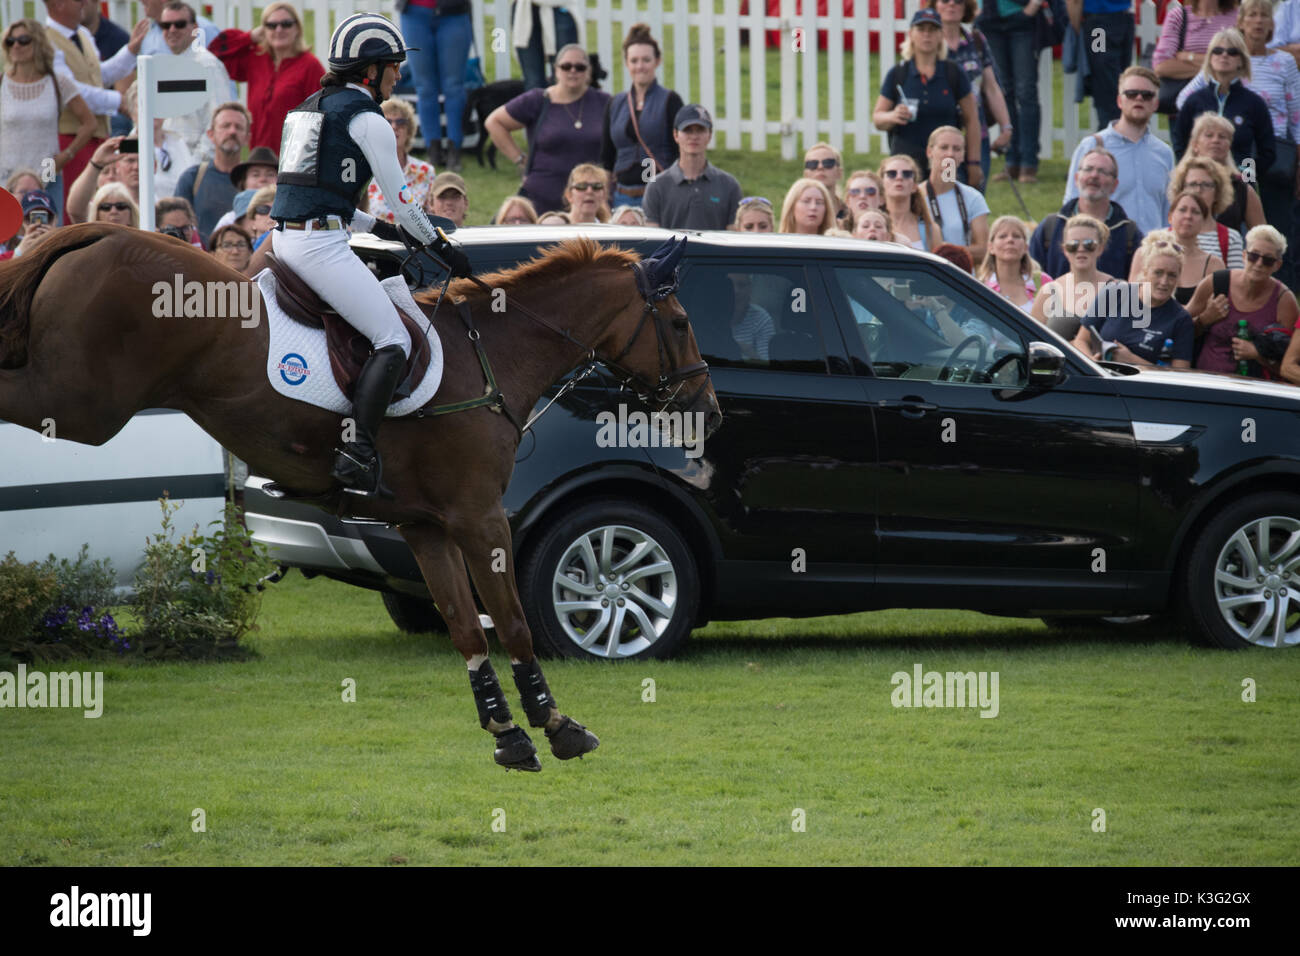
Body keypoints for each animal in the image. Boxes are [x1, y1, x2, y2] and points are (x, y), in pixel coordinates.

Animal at [0, 223, 722, 770]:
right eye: (680, 321)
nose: (708, 411)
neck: (493, 354)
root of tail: (100, 234)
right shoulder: (480, 520)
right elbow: (513, 621)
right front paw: (555, 724)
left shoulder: (428, 527)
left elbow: (466, 629)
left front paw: (507, 735)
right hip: (80, 405)